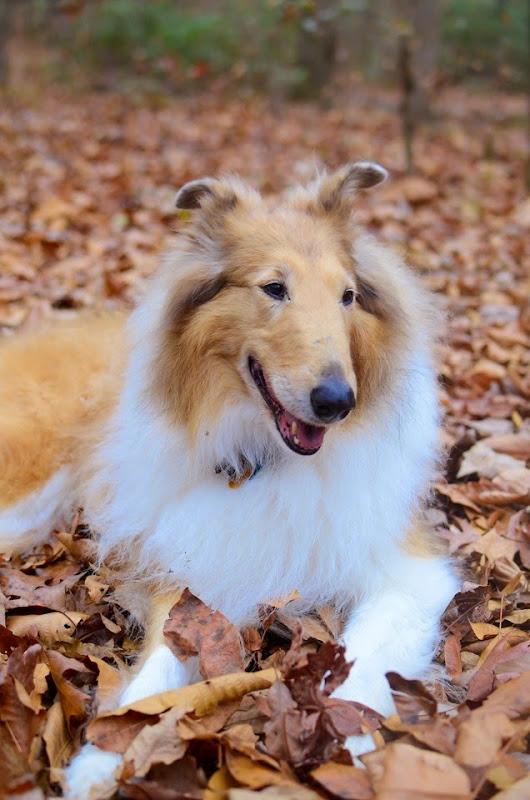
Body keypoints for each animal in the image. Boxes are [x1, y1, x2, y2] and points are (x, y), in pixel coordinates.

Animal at [0, 163, 458, 796]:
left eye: (347, 296)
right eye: (273, 288)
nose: (337, 402)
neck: (265, 455)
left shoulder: (406, 574)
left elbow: (358, 656)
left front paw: (342, 734)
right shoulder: (192, 567)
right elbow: (157, 671)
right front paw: (104, 755)